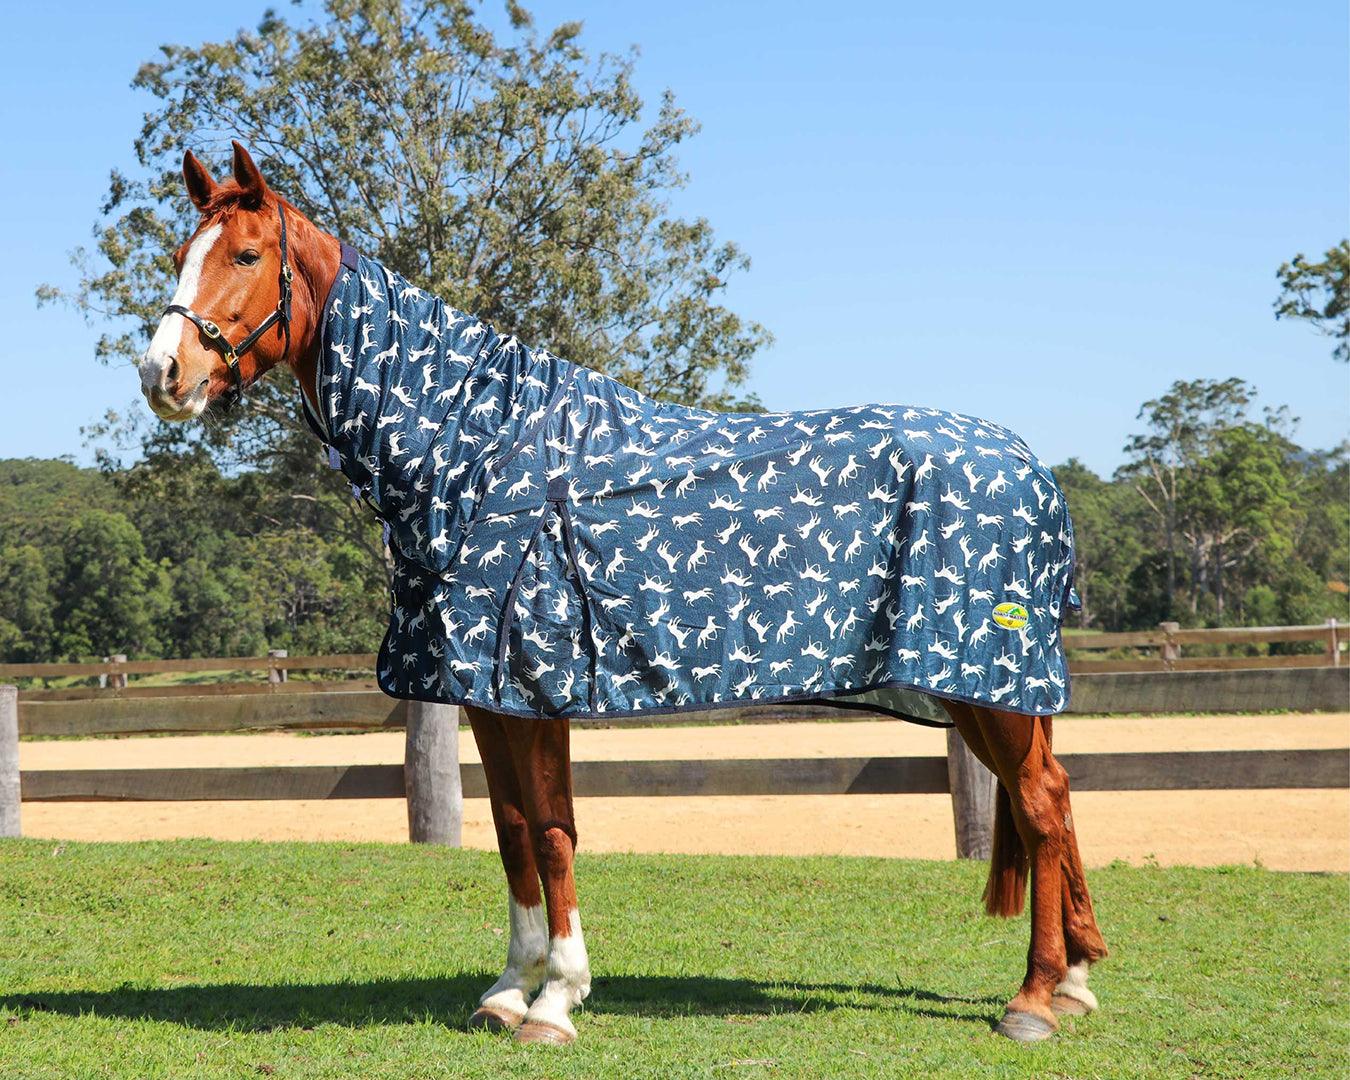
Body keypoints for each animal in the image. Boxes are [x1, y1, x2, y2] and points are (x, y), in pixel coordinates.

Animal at [138, 141, 1108, 1046]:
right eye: (183, 253)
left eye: (247, 254)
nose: (162, 375)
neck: (475, 454)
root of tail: (1031, 469)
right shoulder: (490, 697)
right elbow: (512, 831)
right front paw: (507, 991)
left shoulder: (534, 690)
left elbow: (552, 830)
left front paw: (557, 1001)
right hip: (986, 693)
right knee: (1054, 797)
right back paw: (1074, 982)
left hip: (988, 682)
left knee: (1039, 806)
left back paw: (1033, 1002)